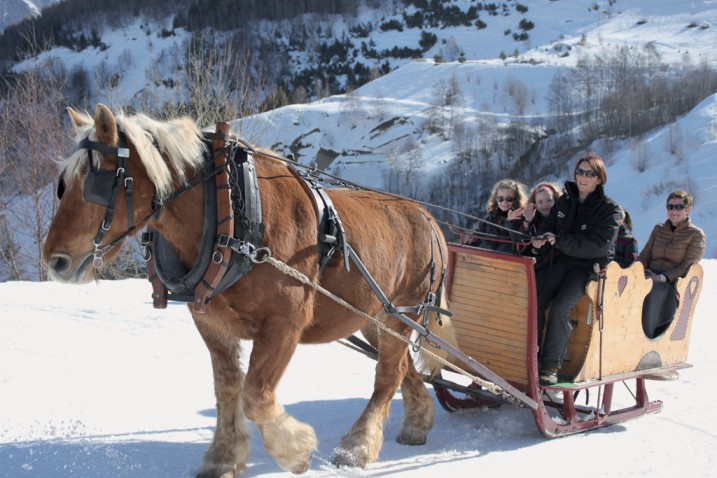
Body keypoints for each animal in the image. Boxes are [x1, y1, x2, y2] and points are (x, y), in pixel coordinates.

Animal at [43, 103, 458, 474]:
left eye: (98, 181)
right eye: (63, 184)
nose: (54, 260)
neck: (232, 212)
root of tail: (429, 219)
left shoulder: (284, 324)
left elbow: (255, 395)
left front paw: (297, 451)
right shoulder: (212, 323)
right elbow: (228, 391)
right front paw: (223, 458)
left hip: (403, 312)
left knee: (386, 374)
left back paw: (357, 447)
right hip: (374, 318)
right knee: (401, 365)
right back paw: (416, 423)